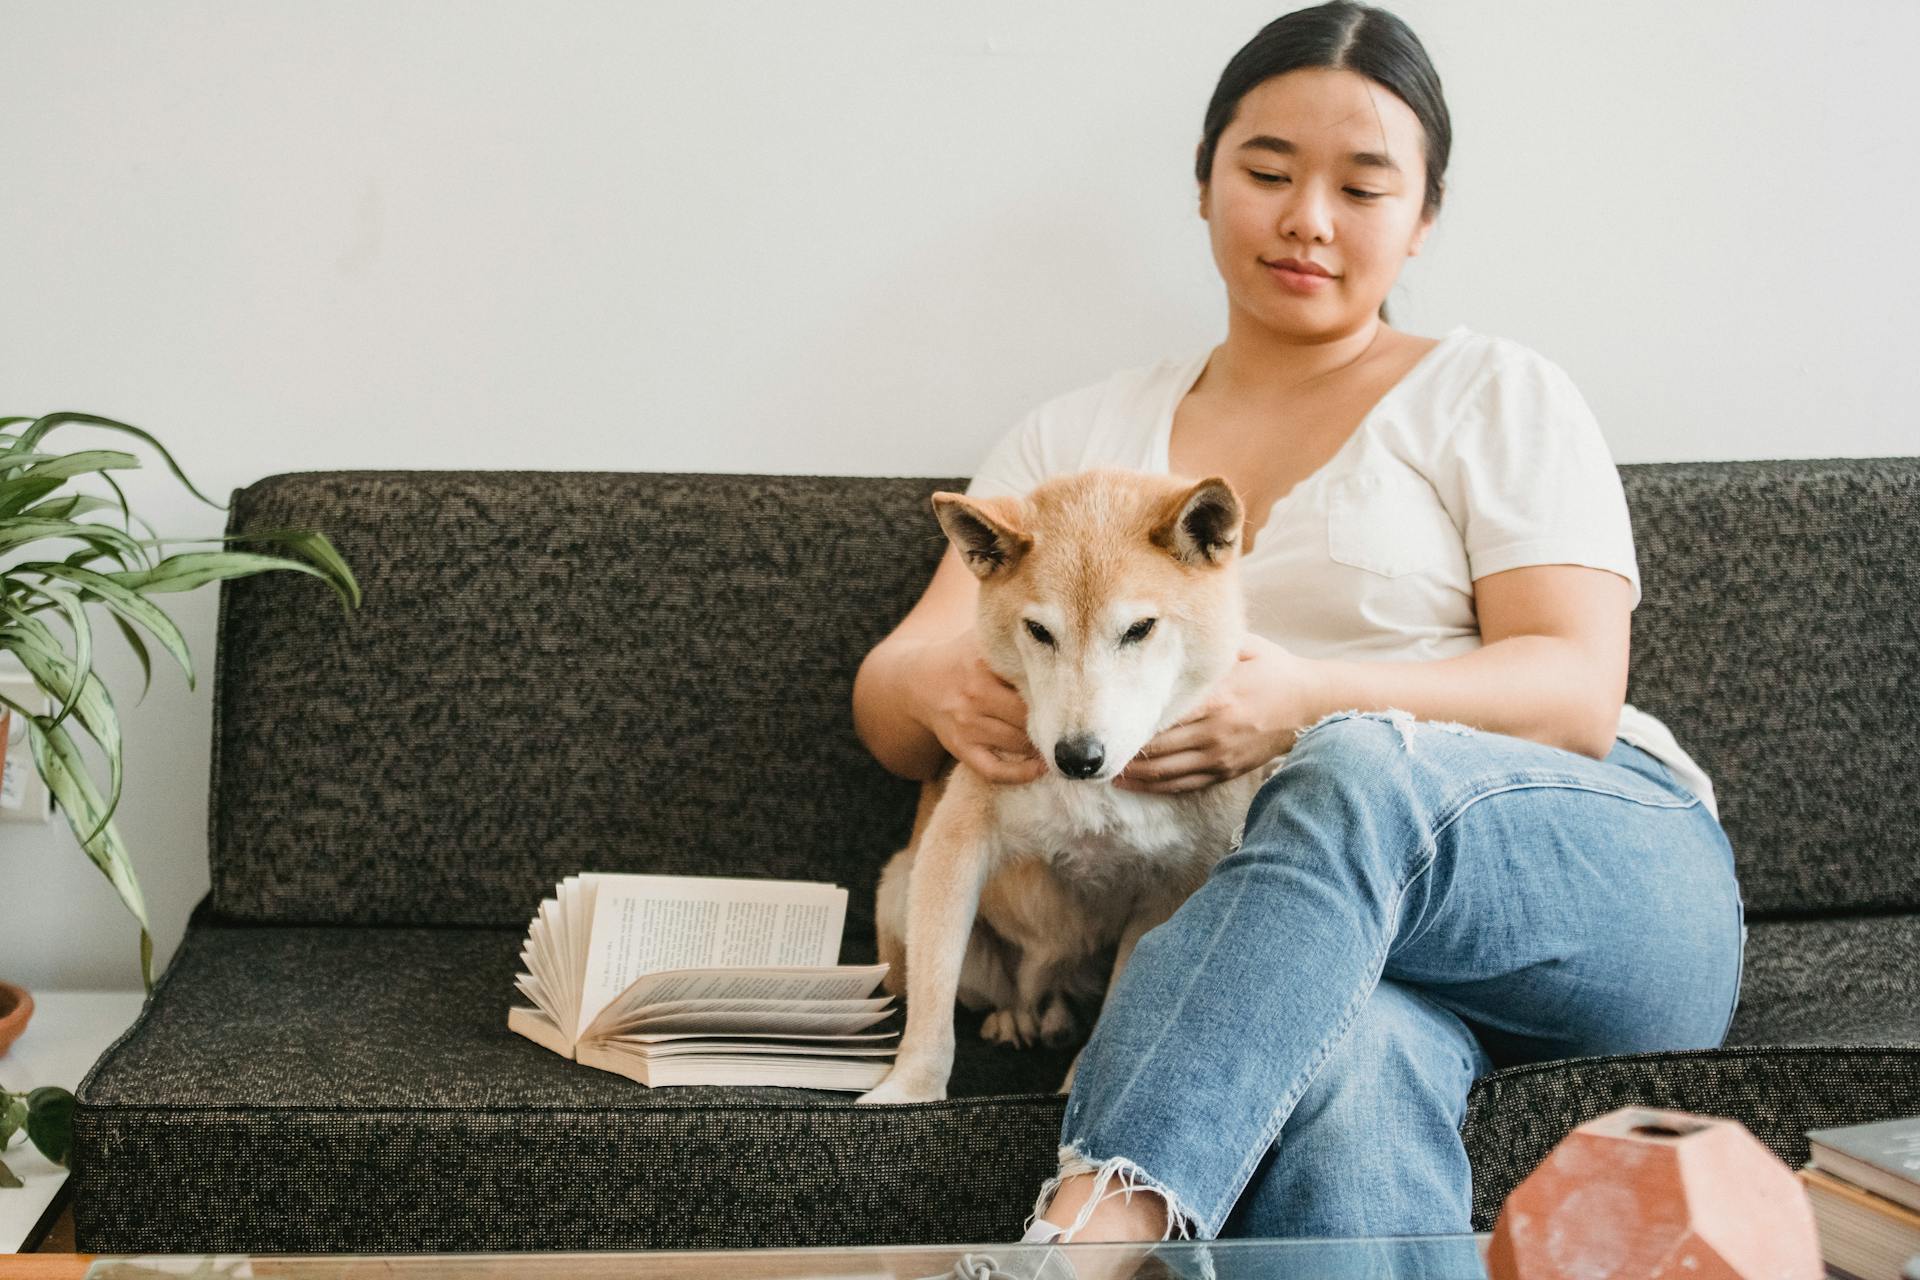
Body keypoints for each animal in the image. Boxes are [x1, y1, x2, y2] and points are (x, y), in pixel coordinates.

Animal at [860, 466, 1282, 1105]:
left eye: (1139, 628)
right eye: (1039, 631)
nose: (1077, 757)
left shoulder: (1171, 889)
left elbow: (1116, 1012)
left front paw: (1079, 1083)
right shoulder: (954, 848)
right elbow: (931, 1006)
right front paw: (910, 1089)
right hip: (901, 889)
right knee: (996, 993)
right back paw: (1015, 1018)